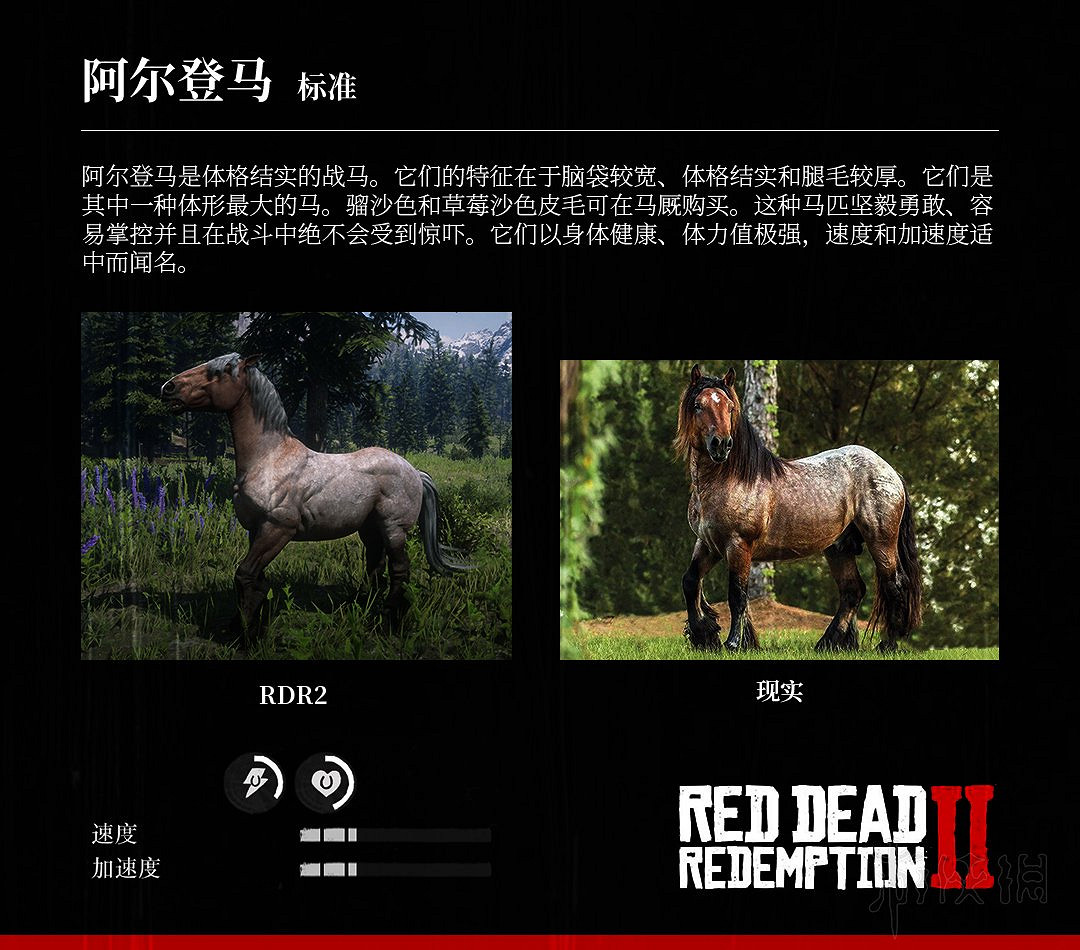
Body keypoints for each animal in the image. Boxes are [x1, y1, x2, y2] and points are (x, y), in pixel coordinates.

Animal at [160, 353, 472, 643]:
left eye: (221, 371)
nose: (168, 387)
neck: (268, 458)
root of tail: (414, 471)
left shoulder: (278, 529)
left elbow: (244, 575)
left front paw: (245, 635)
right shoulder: (255, 530)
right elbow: (255, 581)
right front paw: (246, 627)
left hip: (394, 529)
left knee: (400, 572)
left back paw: (389, 622)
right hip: (370, 529)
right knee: (375, 568)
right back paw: (367, 611)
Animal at [674, 364, 922, 654]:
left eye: (730, 407)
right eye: (698, 405)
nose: (721, 444)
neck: (730, 479)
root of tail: (890, 471)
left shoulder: (738, 545)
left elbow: (737, 595)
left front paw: (734, 643)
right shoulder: (708, 543)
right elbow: (690, 581)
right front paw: (704, 634)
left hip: (881, 542)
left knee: (894, 584)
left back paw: (888, 643)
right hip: (839, 548)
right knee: (853, 590)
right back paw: (828, 643)